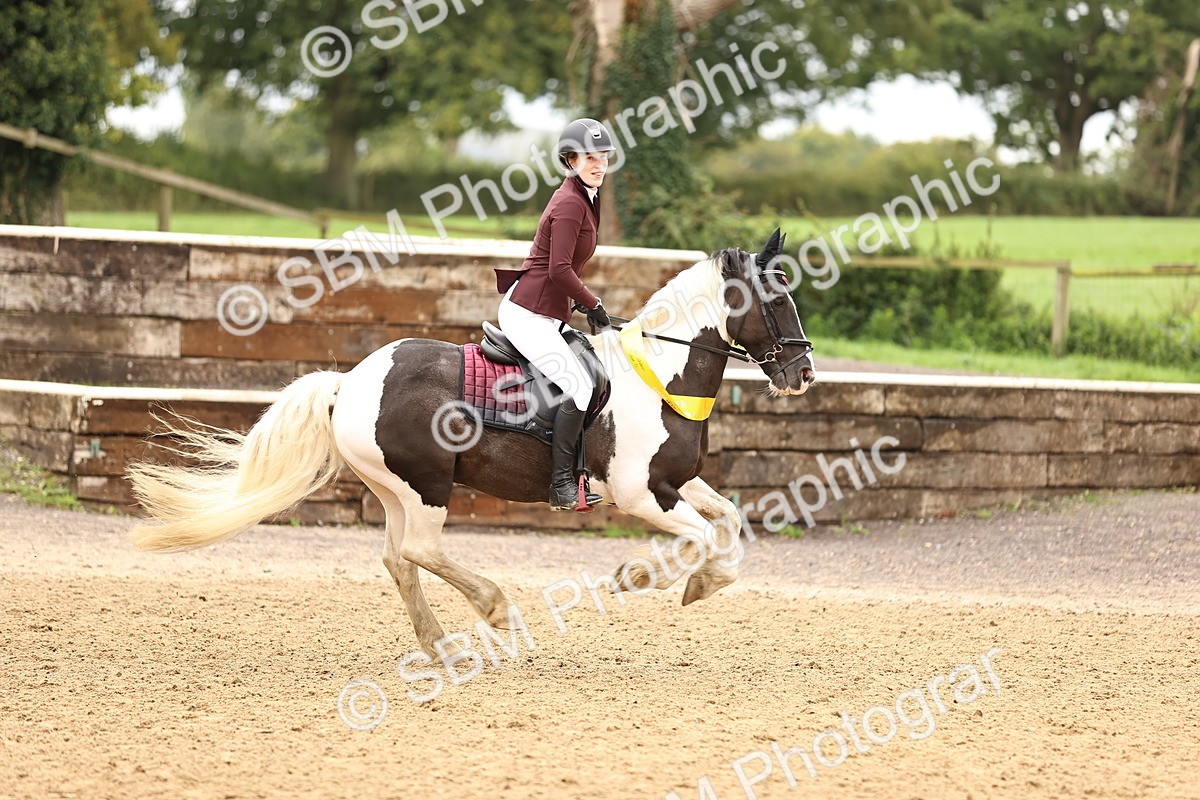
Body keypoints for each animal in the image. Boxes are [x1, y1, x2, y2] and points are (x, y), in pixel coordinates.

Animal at [126, 229, 816, 656]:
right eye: (777, 298)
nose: (803, 372)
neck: (659, 376)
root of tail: (350, 381)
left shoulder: (676, 481)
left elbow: (728, 522)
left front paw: (692, 581)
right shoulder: (641, 493)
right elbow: (701, 539)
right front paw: (643, 577)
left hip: (394, 489)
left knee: (399, 558)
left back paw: (440, 645)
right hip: (427, 484)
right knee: (422, 551)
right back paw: (495, 607)